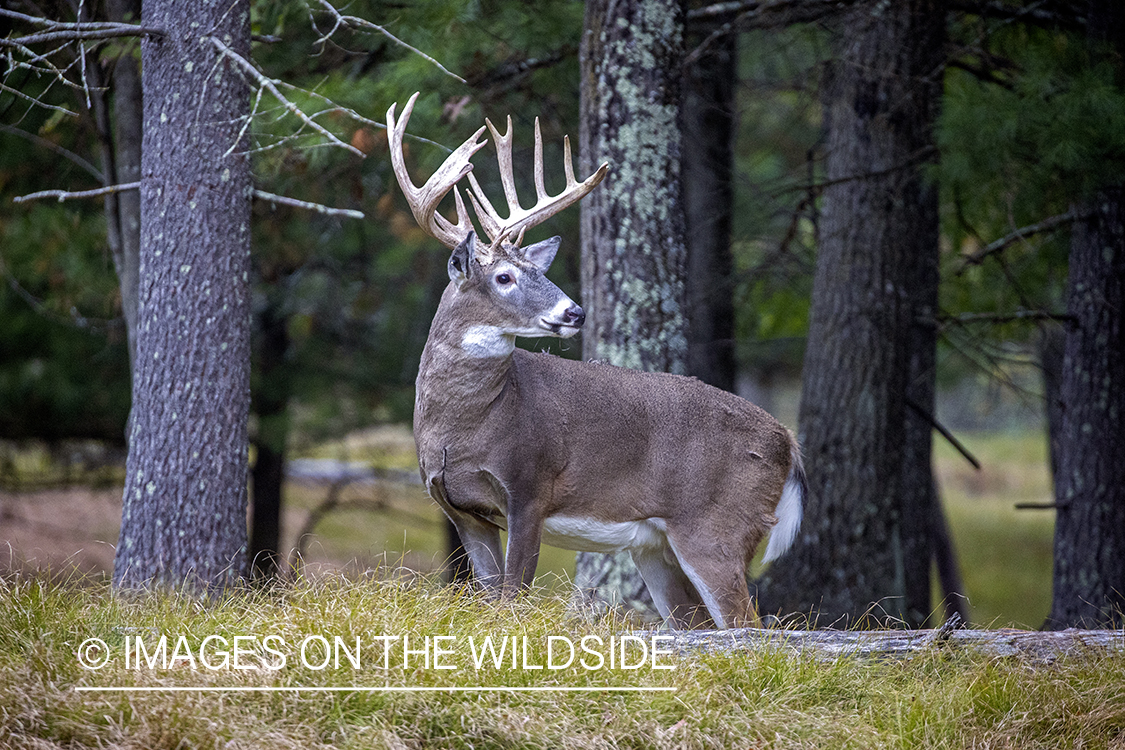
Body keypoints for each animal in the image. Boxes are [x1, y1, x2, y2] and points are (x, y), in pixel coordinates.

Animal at [391, 95, 805, 634]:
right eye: (504, 277)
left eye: (538, 270)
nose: (575, 312)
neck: (466, 426)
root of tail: (789, 441)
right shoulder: (460, 509)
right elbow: (489, 597)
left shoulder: (530, 487)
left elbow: (512, 599)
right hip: (656, 547)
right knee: (696, 624)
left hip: (719, 525)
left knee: (747, 623)